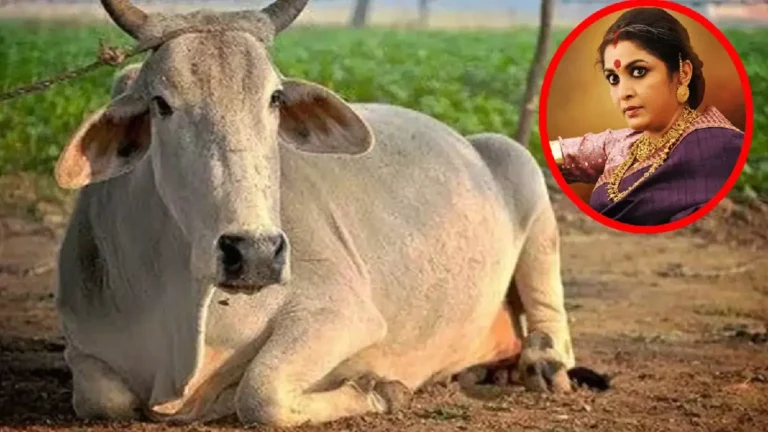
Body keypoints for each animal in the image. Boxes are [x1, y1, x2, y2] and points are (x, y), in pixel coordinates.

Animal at [53, 0, 581, 427]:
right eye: (161, 104)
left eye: (274, 98)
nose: (254, 253)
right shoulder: (84, 343)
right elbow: (103, 399)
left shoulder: (342, 312)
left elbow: (261, 393)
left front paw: (381, 392)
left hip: (521, 166)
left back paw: (542, 363)